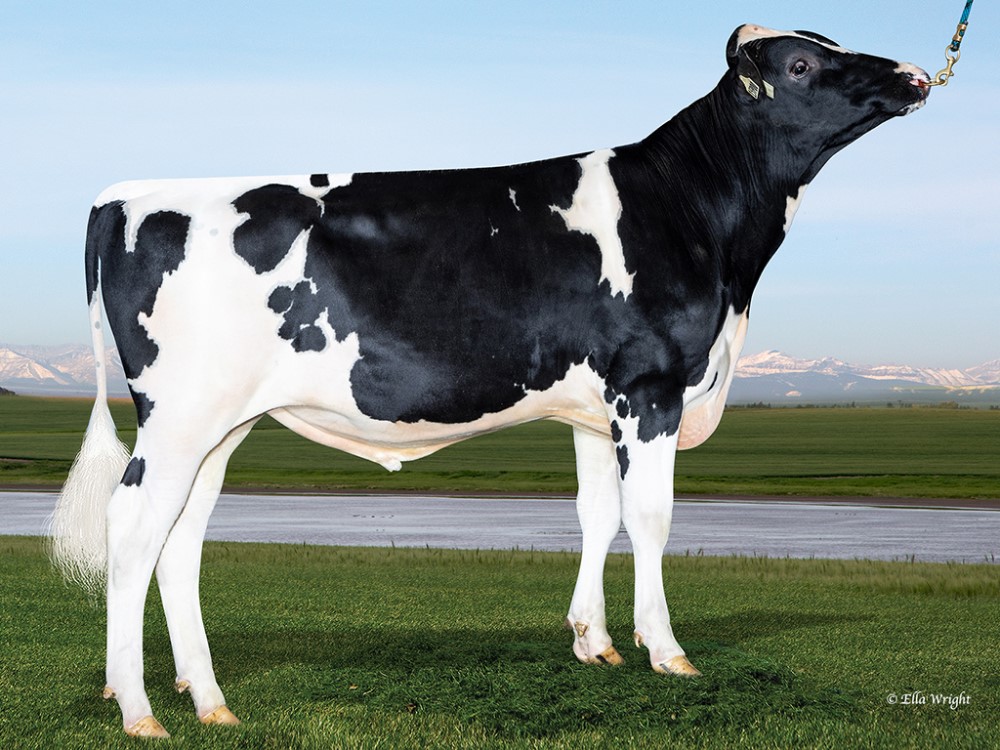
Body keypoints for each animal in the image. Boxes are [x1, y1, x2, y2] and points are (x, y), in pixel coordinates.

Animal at [50, 24, 930, 737]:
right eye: (802, 63)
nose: (918, 74)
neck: (703, 225)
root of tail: (129, 194)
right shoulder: (649, 386)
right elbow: (650, 517)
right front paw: (666, 651)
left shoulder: (590, 406)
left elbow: (596, 514)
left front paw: (595, 643)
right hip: (180, 414)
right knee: (134, 526)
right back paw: (138, 709)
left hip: (221, 423)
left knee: (181, 539)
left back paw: (209, 701)